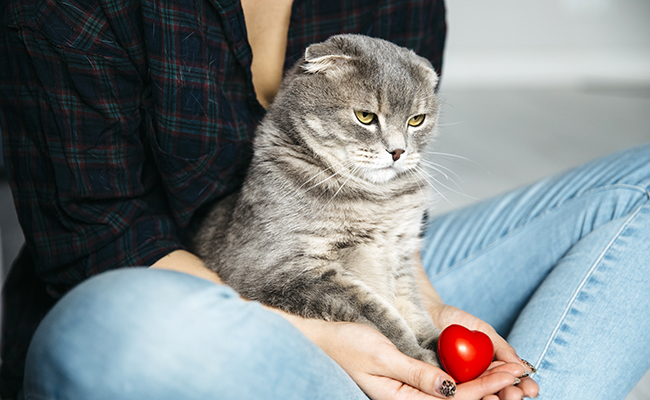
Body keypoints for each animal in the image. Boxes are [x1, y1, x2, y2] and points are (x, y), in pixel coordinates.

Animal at [187, 34, 440, 366]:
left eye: (416, 120)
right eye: (365, 117)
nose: (398, 151)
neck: (378, 199)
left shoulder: (400, 258)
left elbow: (413, 308)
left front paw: (434, 341)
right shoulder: (280, 270)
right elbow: (376, 311)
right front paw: (416, 355)